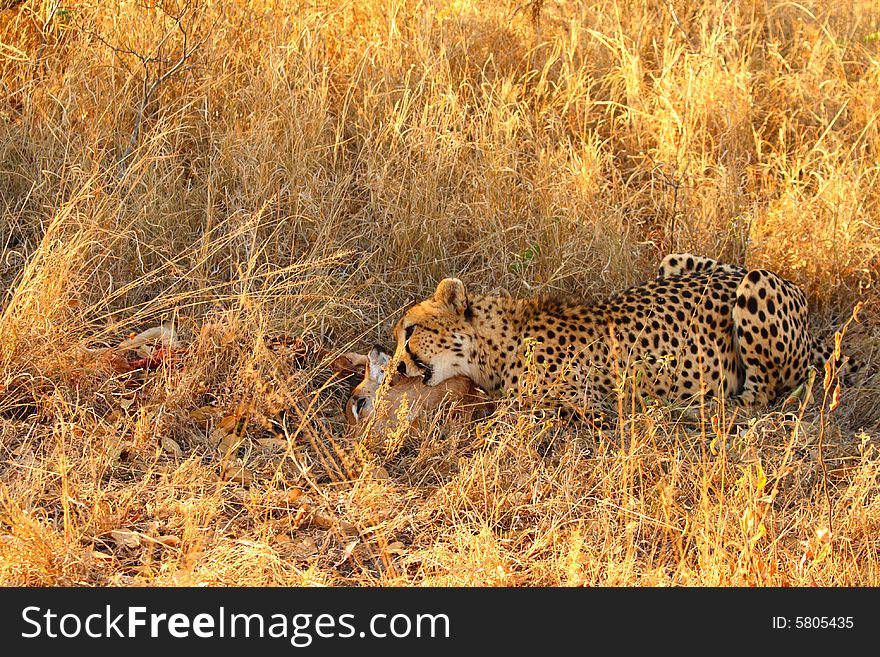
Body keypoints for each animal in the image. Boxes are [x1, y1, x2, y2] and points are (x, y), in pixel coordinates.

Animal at [392, 252, 844, 410]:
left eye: (410, 331)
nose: (396, 368)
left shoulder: (587, 406)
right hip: (675, 260)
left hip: (755, 283)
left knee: (758, 398)